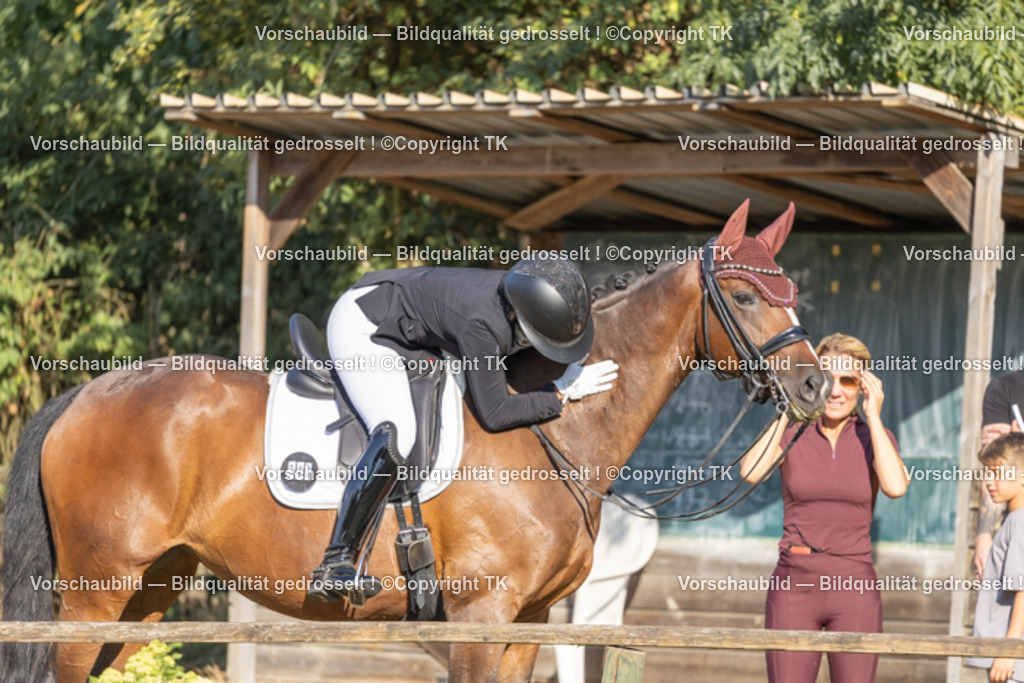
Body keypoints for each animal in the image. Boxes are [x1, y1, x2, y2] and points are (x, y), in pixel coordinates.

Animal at [2, 199, 830, 682]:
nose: (816, 386)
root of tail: (84, 393)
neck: (554, 436)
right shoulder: (480, 617)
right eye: (745, 295)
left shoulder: (527, 622)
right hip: (92, 594)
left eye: (792, 291)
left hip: (145, 593)